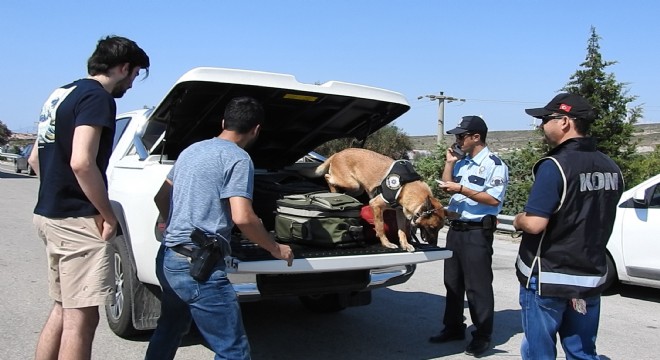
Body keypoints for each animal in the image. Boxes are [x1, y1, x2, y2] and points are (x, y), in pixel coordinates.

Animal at [300, 148, 448, 252]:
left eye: (440, 228)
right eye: (432, 228)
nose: (434, 244)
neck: (405, 186)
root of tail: (337, 153)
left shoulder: (400, 213)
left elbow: (402, 231)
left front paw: (405, 244)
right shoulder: (376, 205)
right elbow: (380, 227)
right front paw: (387, 243)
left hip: (357, 188)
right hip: (352, 183)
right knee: (327, 177)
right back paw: (333, 190)